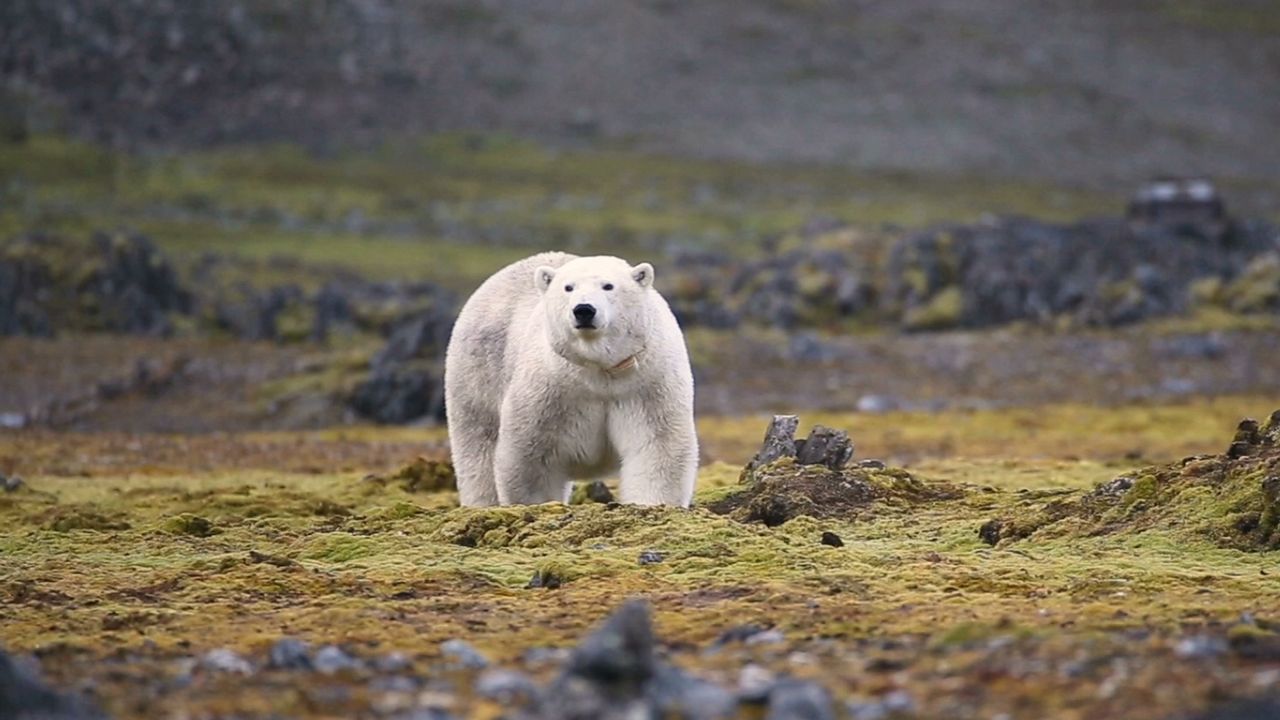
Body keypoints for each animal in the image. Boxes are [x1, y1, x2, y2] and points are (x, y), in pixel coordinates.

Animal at [444, 253, 698, 507]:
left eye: (608, 286)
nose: (584, 309)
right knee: (478, 444)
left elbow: (657, 444)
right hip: (478, 370)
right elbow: (530, 454)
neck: (598, 370)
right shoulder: (550, 389)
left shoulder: (646, 384)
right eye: (568, 287)